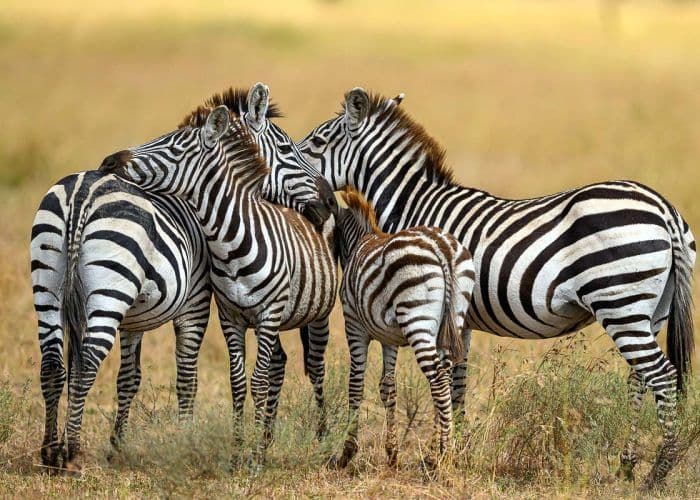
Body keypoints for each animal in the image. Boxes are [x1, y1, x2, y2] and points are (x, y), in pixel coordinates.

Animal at [32, 83, 336, 472]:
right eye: (287, 149)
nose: (329, 202)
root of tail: (83, 191)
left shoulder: (133, 319)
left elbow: (128, 378)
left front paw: (117, 447)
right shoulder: (197, 302)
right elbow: (187, 376)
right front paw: (187, 441)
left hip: (48, 285)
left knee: (53, 366)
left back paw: (49, 451)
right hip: (108, 293)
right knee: (85, 364)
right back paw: (70, 452)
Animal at [331, 189, 475, 469]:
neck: (360, 241)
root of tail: (442, 248)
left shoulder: (354, 325)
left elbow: (355, 384)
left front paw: (347, 453)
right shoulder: (389, 339)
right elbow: (388, 387)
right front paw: (392, 454)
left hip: (416, 319)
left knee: (438, 378)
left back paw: (446, 454)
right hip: (453, 318)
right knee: (445, 377)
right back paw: (440, 452)